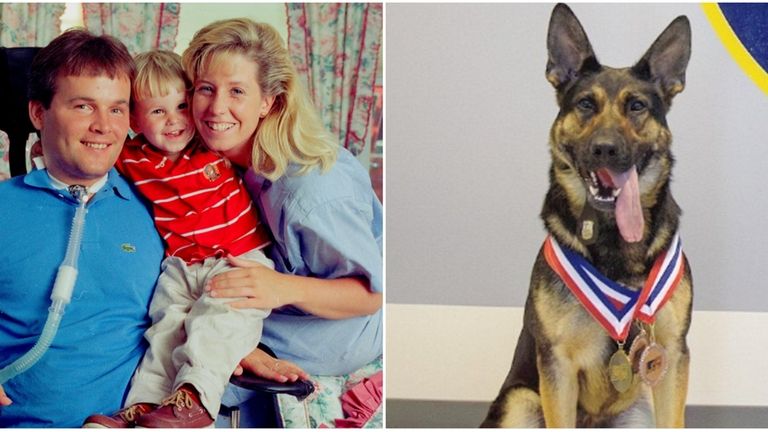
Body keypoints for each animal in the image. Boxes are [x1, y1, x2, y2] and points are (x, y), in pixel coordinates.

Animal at [484, 4, 692, 428]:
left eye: (636, 106)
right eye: (585, 105)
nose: (605, 149)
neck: (615, 240)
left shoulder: (671, 358)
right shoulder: (557, 368)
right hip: (521, 401)